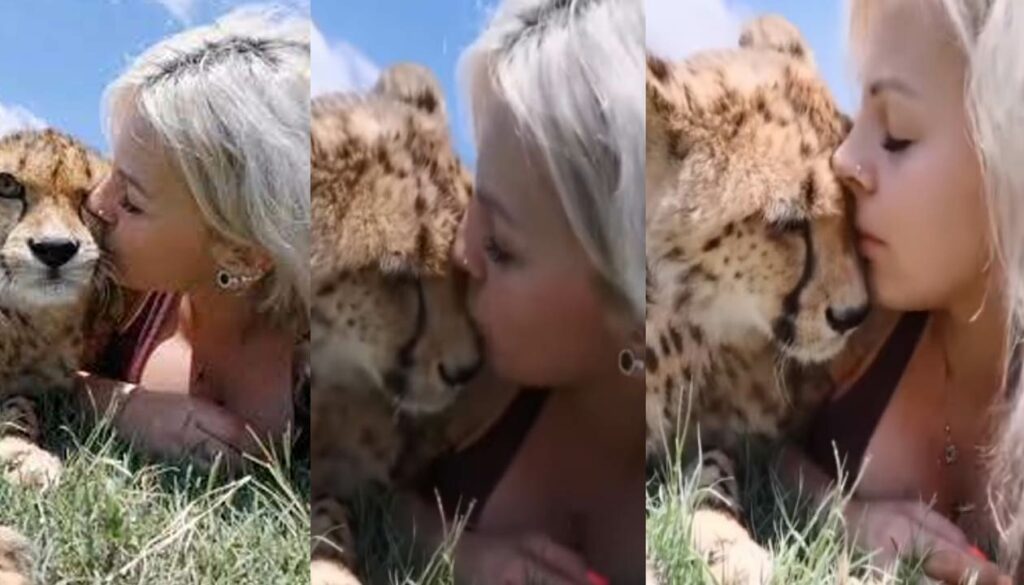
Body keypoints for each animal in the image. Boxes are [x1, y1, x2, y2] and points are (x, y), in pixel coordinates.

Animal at [0, 128, 115, 585]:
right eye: (7, 185)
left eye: (89, 201)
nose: (54, 250)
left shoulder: (33, 385)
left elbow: (20, 410)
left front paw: (21, 457)